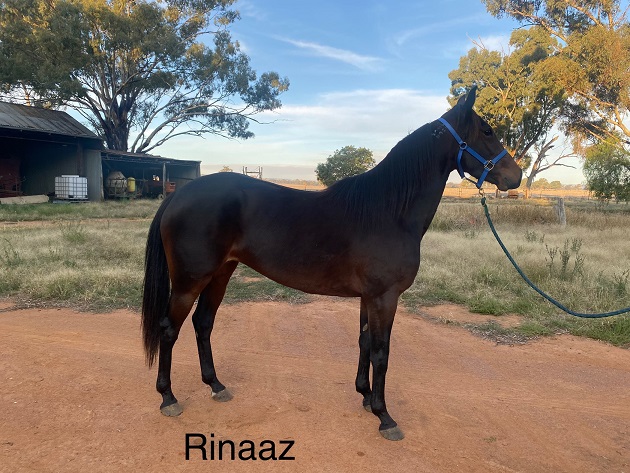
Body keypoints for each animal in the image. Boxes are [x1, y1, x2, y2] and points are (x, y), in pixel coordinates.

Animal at [141, 86, 522, 441]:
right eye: (487, 130)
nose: (515, 177)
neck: (388, 211)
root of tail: (178, 194)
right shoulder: (385, 297)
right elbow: (382, 352)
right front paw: (385, 417)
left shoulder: (369, 298)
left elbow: (365, 343)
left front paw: (365, 397)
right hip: (190, 280)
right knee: (169, 329)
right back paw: (168, 398)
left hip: (221, 273)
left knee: (203, 324)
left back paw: (216, 385)